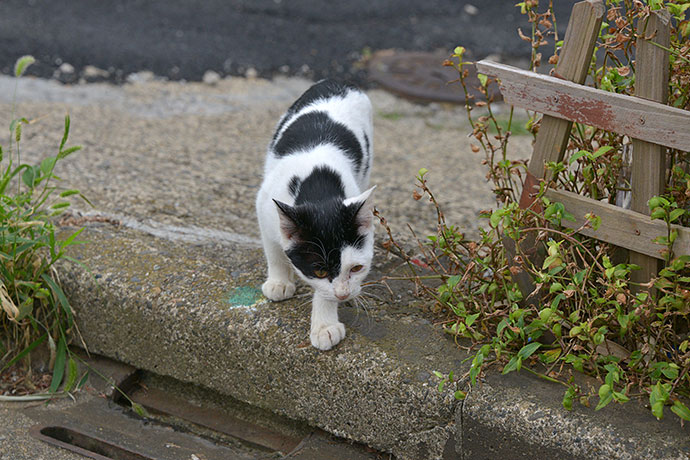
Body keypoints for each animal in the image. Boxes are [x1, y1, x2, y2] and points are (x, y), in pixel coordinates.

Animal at [256, 80, 374, 352]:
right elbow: (274, 251)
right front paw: (279, 281)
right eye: (320, 271)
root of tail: (336, 82)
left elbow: (325, 292)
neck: (318, 186)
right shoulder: (264, 207)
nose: (344, 295)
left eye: (357, 268)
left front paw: (324, 325)